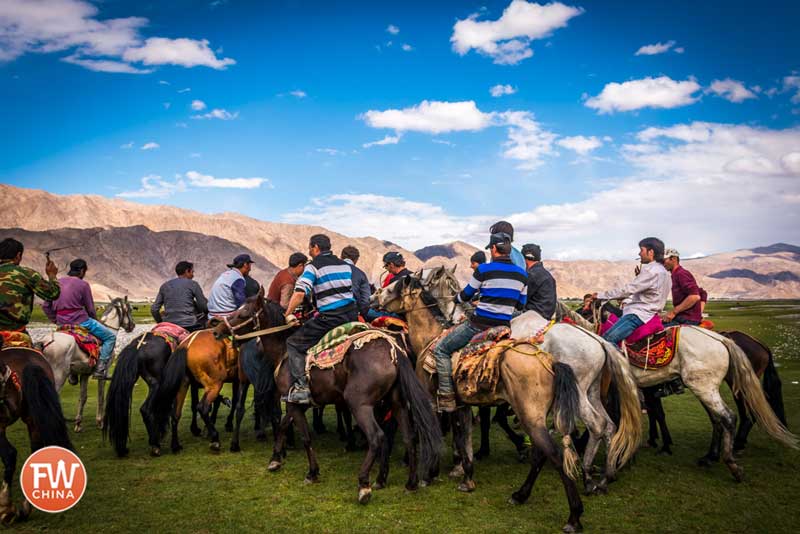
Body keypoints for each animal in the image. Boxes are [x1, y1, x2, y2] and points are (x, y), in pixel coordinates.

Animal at [37, 298, 134, 436]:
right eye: (130, 309)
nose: (132, 326)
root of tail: (46, 342)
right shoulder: (103, 374)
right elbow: (101, 396)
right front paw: (100, 422)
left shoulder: (84, 374)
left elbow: (82, 397)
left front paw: (78, 424)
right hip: (59, 375)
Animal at [212, 292, 444, 508]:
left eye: (243, 313)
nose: (217, 330)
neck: (283, 352)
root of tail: (393, 349)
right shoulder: (299, 403)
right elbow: (284, 426)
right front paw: (275, 460)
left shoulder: (293, 402)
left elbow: (305, 437)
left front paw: (312, 472)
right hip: (396, 403)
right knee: (409, 437)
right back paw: (409, 482)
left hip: (360, 404)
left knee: (377, 437)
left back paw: (364, 485)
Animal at [372, 276, 584, 534]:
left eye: (392, 287)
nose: (372, 297)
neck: (429, 337)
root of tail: (550, 362)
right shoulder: (461, 406)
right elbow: (464, 441)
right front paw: (466, 477)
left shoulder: (432, 402)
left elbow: (435, 435)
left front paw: (429, 475)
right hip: (536, 419)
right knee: (540, 456)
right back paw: (520, 495)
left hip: (530, 418)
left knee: (555, 457)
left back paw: (573, 517)